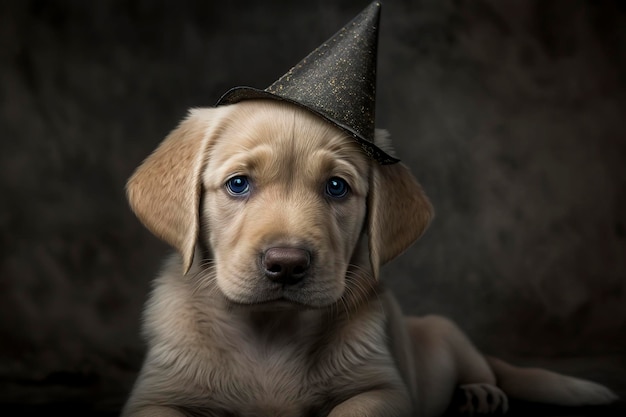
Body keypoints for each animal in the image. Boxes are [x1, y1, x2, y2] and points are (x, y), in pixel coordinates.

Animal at [122, 99, 616, 414]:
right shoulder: (154, 397)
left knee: (488, 371)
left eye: (336, 187)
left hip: (448, 332)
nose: (287, 264)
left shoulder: (384, 388)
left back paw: (479, 393)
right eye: (238, 184)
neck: (271, 332)